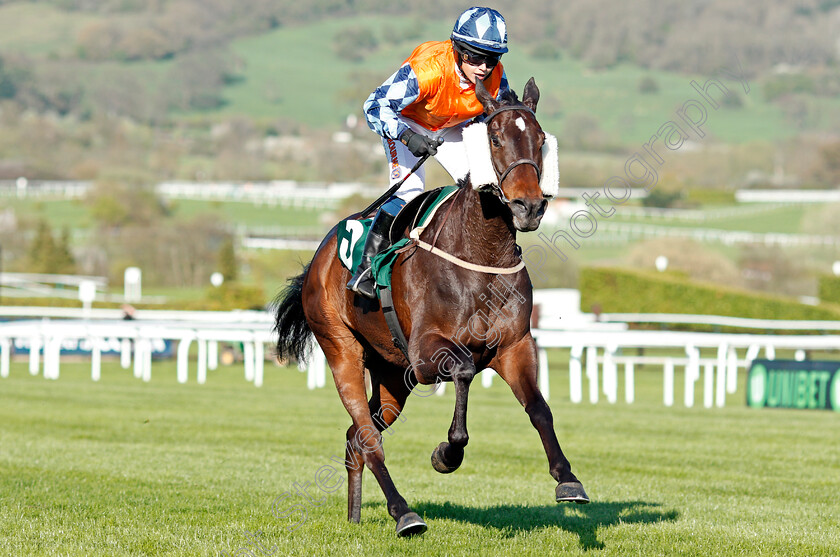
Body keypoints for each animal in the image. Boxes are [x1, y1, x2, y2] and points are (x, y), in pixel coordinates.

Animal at [272, 77, 588, 536]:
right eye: (495, 138)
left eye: (541, 139)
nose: (529, 206)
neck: (482, 255)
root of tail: (320, 257)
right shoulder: (424, 354)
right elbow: (464, 370)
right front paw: (447, 454)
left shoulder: (514, 346)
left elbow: (539, 409)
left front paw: (568, 479)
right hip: (341, 349)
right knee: (368, 437)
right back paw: (404, 513)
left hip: (391, 376)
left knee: (356, 437)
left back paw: (355, 516)